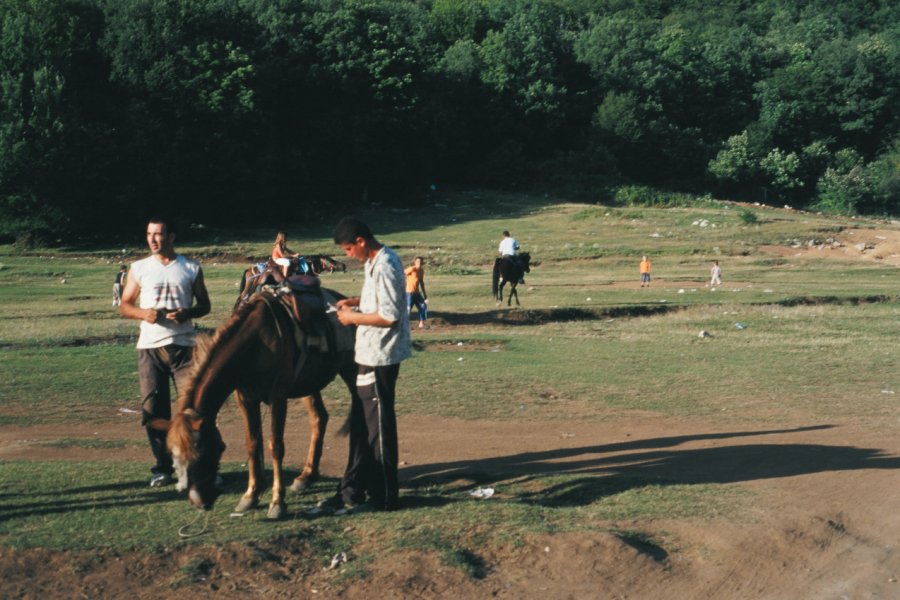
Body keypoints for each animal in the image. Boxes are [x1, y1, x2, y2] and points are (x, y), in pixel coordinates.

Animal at [163, 276, 354, 516]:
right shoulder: (246, 398)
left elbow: (276, 446)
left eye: (205, 452)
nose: (200, 501)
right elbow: (253, 443)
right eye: (175, 457)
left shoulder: (278, 397)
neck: (256, 343)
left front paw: (277, 503)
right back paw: (306, 477)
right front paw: (250, 495)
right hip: (309, 385)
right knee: (319, 418)